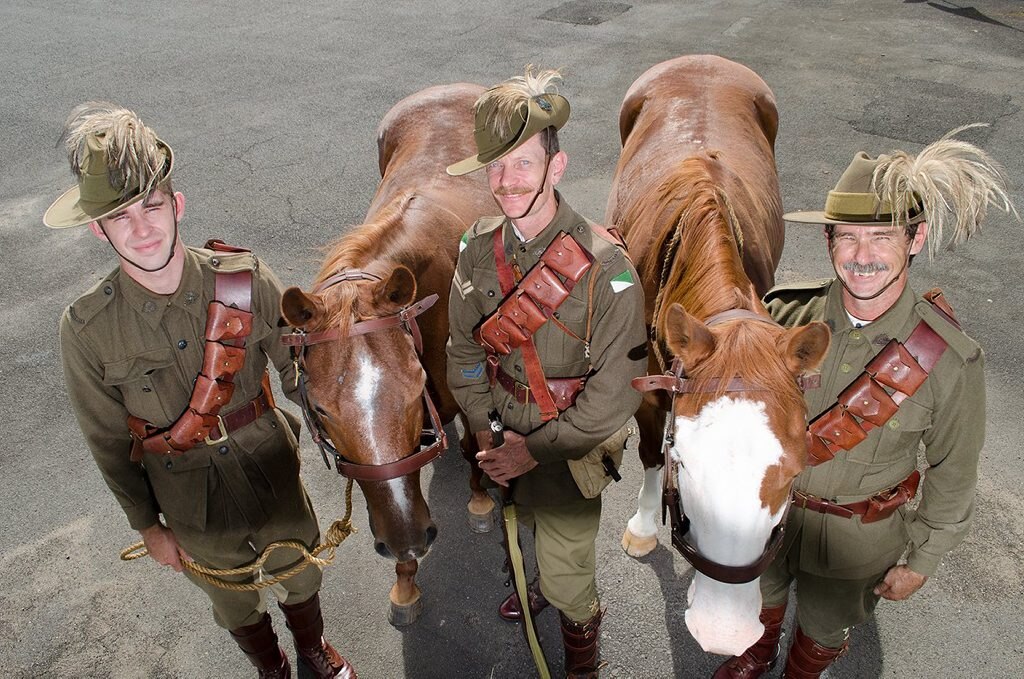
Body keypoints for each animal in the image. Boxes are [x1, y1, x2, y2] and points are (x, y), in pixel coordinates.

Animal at [280, 83, 495, 626]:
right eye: (320, 410)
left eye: (415, 390)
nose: (409, 540)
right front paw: (405, 581)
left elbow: (472, 440)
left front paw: (481, 500)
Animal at [606, 55, 831, 655]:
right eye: (684, 461)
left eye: (795, 471)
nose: (723, 632)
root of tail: (703, 59)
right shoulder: (654, 390)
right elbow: (649, 454)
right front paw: (644, 527)